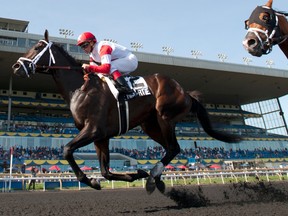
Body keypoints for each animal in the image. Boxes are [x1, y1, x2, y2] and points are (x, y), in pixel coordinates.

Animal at [12, 30, 240, 194]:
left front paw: (89, 180)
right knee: (170, 148)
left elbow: (67, 150)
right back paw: (155, 179)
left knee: (174, 147)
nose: (16, 66)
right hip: (150, 125)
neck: (81, 88)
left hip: (165, 117)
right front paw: (131, 175)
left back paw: (153, 176)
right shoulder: (101, 137)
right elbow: (105, 171)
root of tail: (185, 92)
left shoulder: (93, 130)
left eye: (38, 47)